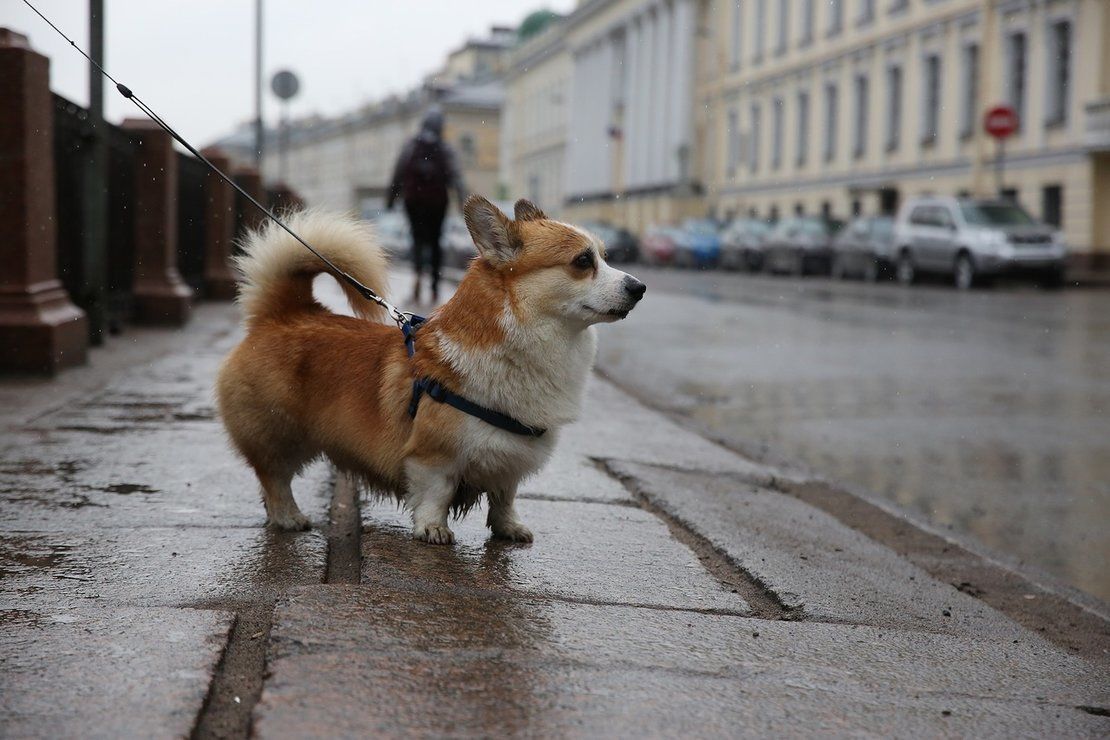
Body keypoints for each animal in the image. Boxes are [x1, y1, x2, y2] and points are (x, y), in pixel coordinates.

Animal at [213, 196, 648, 543]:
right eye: (582, 261)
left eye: (605, 256)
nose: (640, 287)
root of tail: (284, 313)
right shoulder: (433, 455)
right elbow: (436, 493)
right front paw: (433, 529)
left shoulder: (511, 459)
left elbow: (505, 497)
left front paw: (509, 529)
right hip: (279, 435)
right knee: (274, 479)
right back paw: (289, 517)